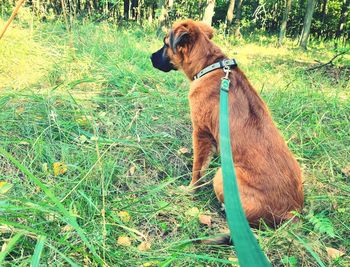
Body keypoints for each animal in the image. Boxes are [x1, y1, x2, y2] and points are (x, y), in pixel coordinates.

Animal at [150, 19, 304, 228]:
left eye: (166, 44)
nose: (150, 57)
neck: (209, 65)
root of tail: (292, 212)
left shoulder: (201, 132)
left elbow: (197, 169)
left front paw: (190, 189)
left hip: (221, 176)